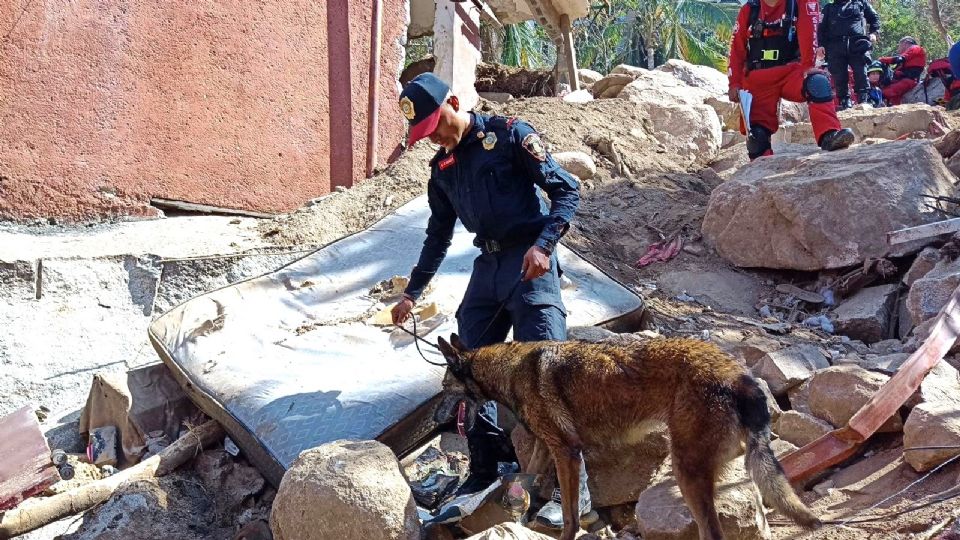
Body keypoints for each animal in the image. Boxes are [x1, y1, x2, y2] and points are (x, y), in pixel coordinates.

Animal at [436, 334, 816, 540]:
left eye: (443, 389)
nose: (436, 418)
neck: (512, 371)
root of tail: (739, 375)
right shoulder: (550, 449)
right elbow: (528, 480)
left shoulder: (567, 453)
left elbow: (571, 514)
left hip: (687, 472)